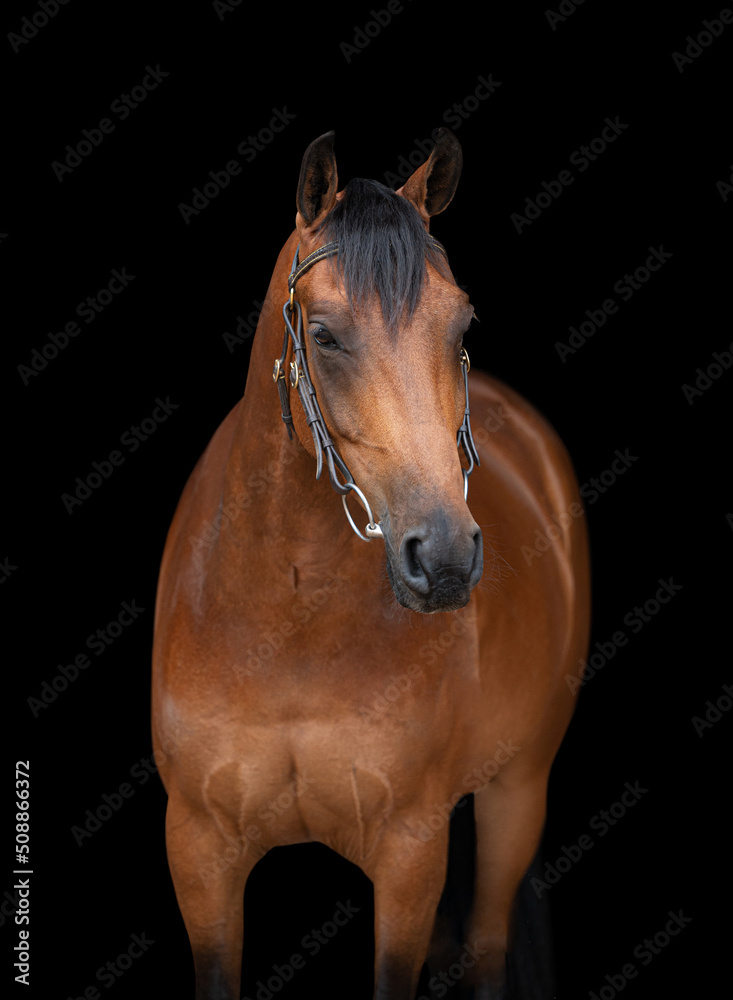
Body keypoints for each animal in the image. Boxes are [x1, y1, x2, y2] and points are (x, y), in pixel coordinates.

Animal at [152, 127, 590, 1000]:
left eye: (460, 325)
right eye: (322, 334)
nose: (445, 556)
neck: (285, 625)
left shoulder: (410, 851)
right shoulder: (199, 849)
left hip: (517, 792)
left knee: (486, 948)